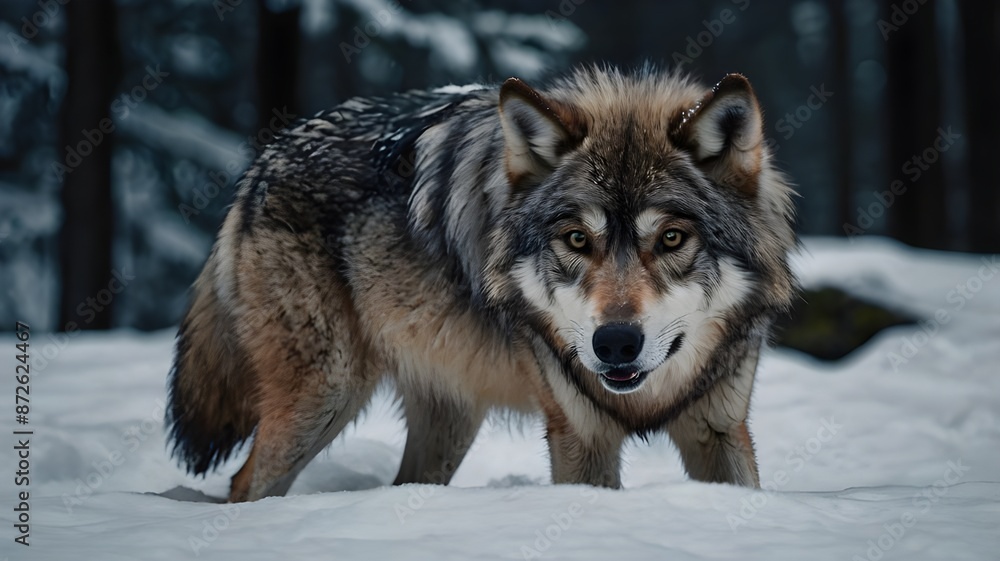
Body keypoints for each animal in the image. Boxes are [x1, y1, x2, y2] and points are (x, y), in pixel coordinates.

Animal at [167, 66, 797, 502]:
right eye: (576, 239)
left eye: (670, 239)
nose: (615, 343)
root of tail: (264, 160)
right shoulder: (582, 435)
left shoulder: (719, 428)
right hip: (325, 396)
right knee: (245, 485)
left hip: (445, 418)